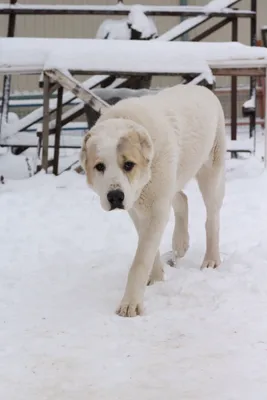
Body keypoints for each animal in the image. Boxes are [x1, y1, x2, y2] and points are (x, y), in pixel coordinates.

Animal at [80, 84, 226, 318]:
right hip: (172, 180)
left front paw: (130, 304)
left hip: (211, 171)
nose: (115, 196)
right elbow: (148, 246)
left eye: (128, 165)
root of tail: (201, 87)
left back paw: (211, 259)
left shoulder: (156, 206)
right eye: (99, 166)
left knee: (212, 218)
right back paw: (180, 244)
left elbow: (141, 259)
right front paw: (157, 277)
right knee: (181, 198)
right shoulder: (137, 206)